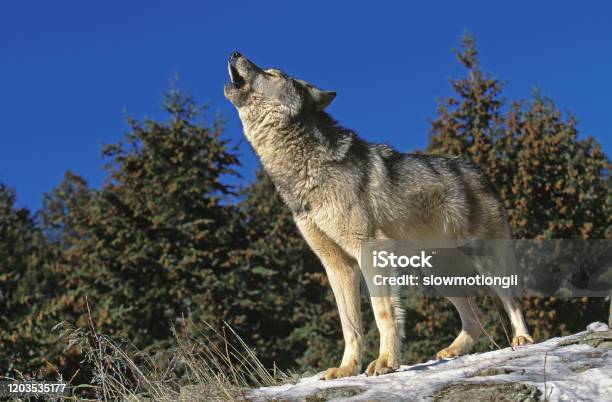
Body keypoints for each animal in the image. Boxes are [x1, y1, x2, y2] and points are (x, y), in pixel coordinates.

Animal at [222, 51, 532, 378]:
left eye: (273, 74)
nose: (234, 53)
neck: (304, 170)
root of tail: (480, 172)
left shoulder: (369, 249)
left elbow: (384, 313)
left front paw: (386, 362)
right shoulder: (336, 265)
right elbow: (350, 326)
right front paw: (346, 369)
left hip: (485, 262)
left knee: (512, 299)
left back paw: (522, 339)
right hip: (435, 275)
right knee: (477, 316)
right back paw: (453, 351)